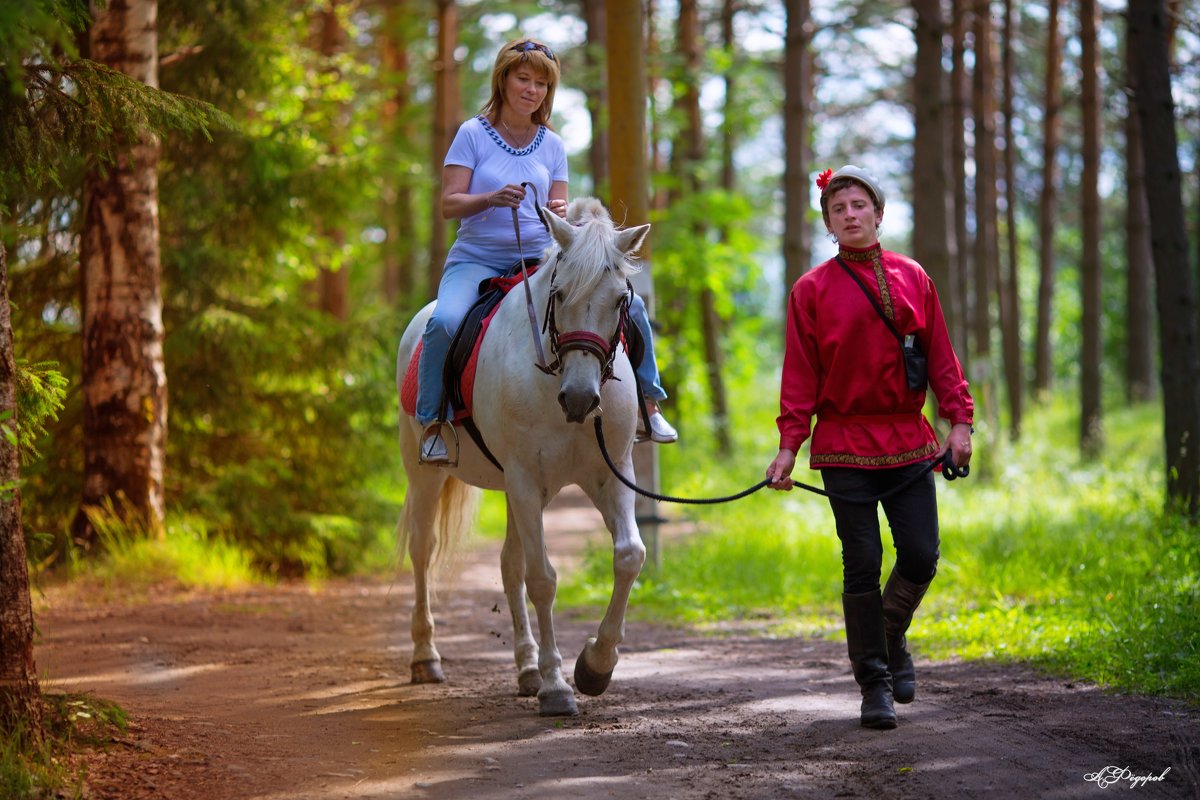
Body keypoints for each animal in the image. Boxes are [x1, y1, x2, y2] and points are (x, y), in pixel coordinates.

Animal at [396, 196, 652, 714]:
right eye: (559, 294)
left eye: (621, 300)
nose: (580, 399)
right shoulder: (526, 481)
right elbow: (543, 579)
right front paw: (557, 687)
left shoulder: (608, 475)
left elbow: (629, 556)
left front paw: (594, 667)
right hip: (427, 474)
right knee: (423, 551)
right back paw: (426, 658)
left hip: (519, 491)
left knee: (508, 563)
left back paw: (526, 669)